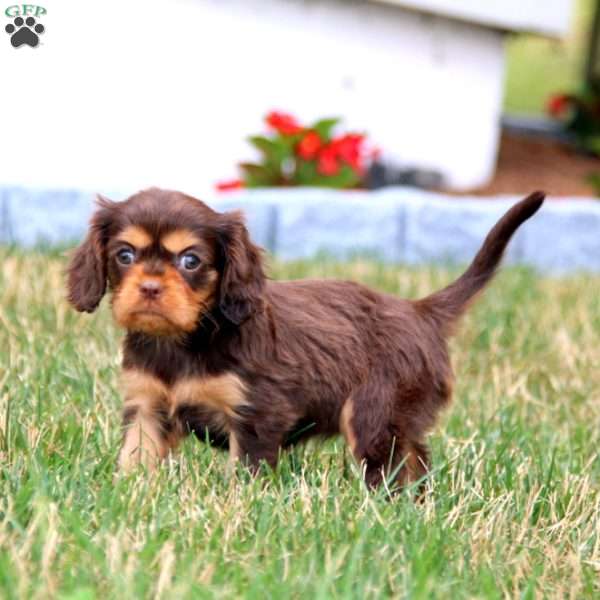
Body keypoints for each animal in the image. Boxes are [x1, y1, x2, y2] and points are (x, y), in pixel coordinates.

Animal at [65, 188, 544, 488]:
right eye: (124, 255)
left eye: (190, 260)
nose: (149, 287)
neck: (184, 341)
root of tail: (419, 310)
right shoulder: (146, 406)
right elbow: (134, 458)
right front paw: (126, 496)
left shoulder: (258, 415)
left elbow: (247, 473)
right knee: (417, 461)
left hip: (372, 413)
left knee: (394, 467)